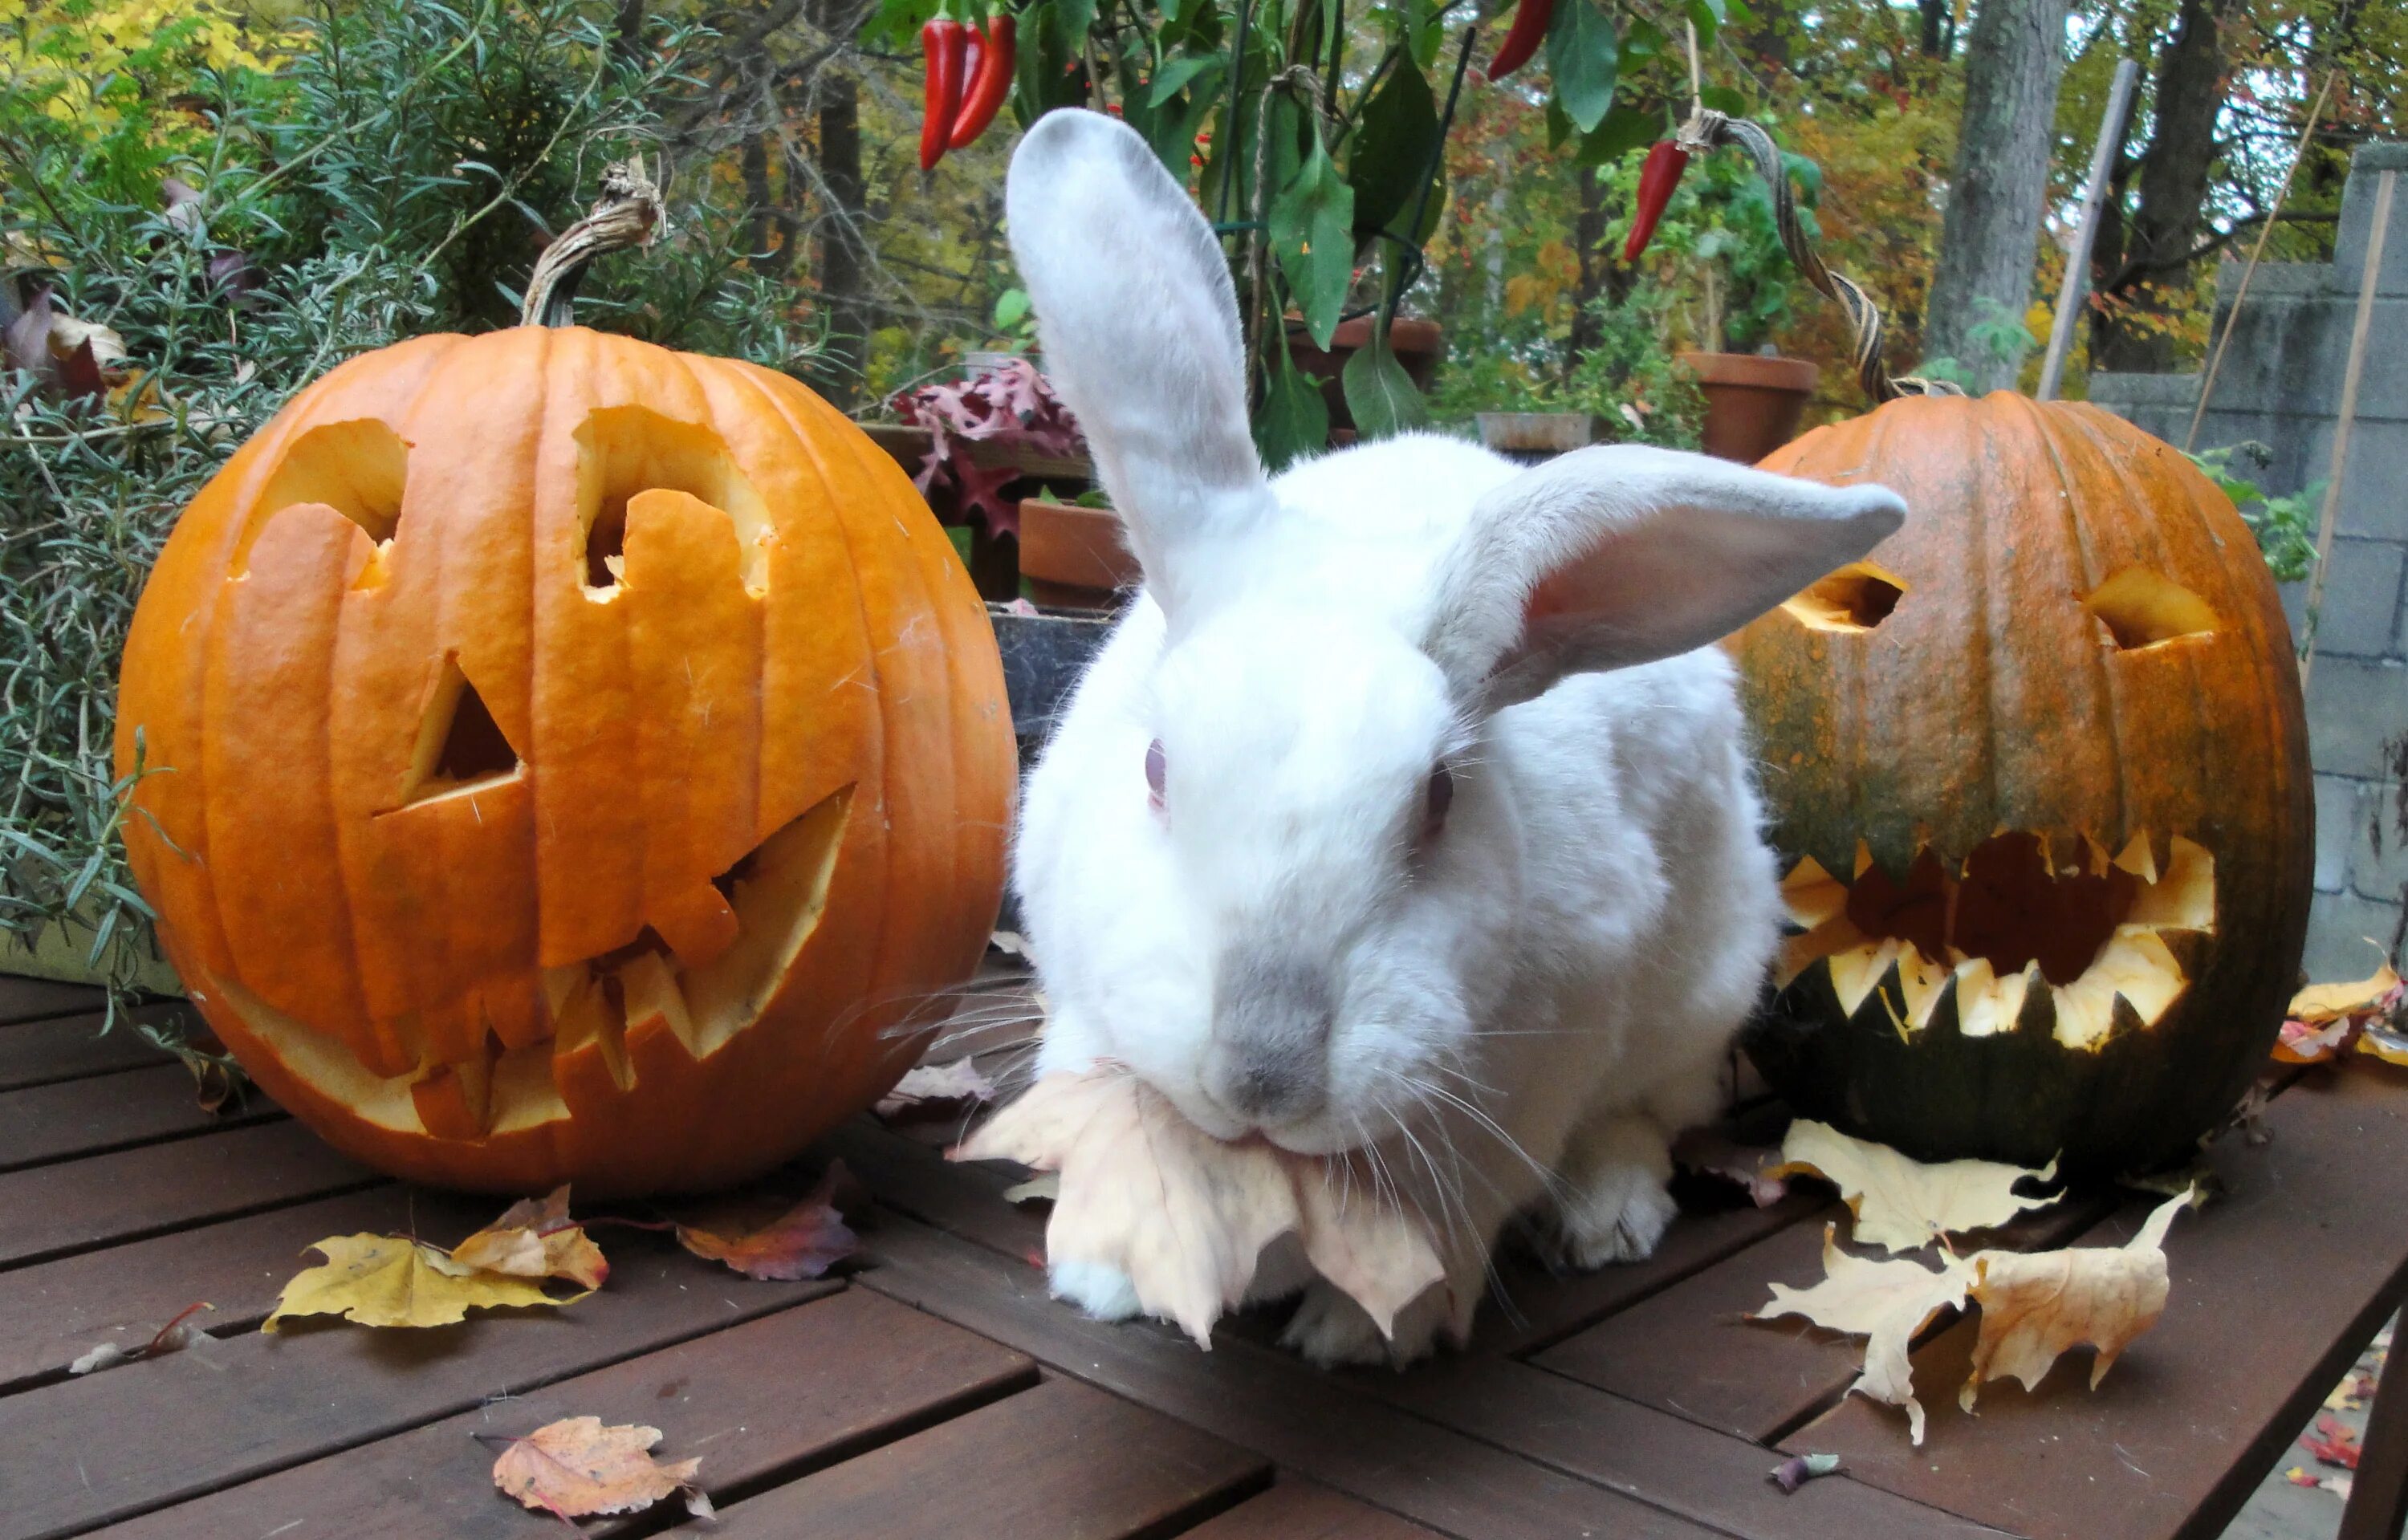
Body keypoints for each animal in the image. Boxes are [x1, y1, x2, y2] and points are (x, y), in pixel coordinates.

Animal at [997, 108, 1898, 1367]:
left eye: (1438, 799)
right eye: (1157, 768)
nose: (1262, 1072)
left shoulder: (1539, 1070)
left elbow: (1456, 1207)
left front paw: (1366, 1335)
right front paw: (1109, 1274)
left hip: (1701, 995)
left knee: (1649, 1116)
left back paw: (1606, 1216)